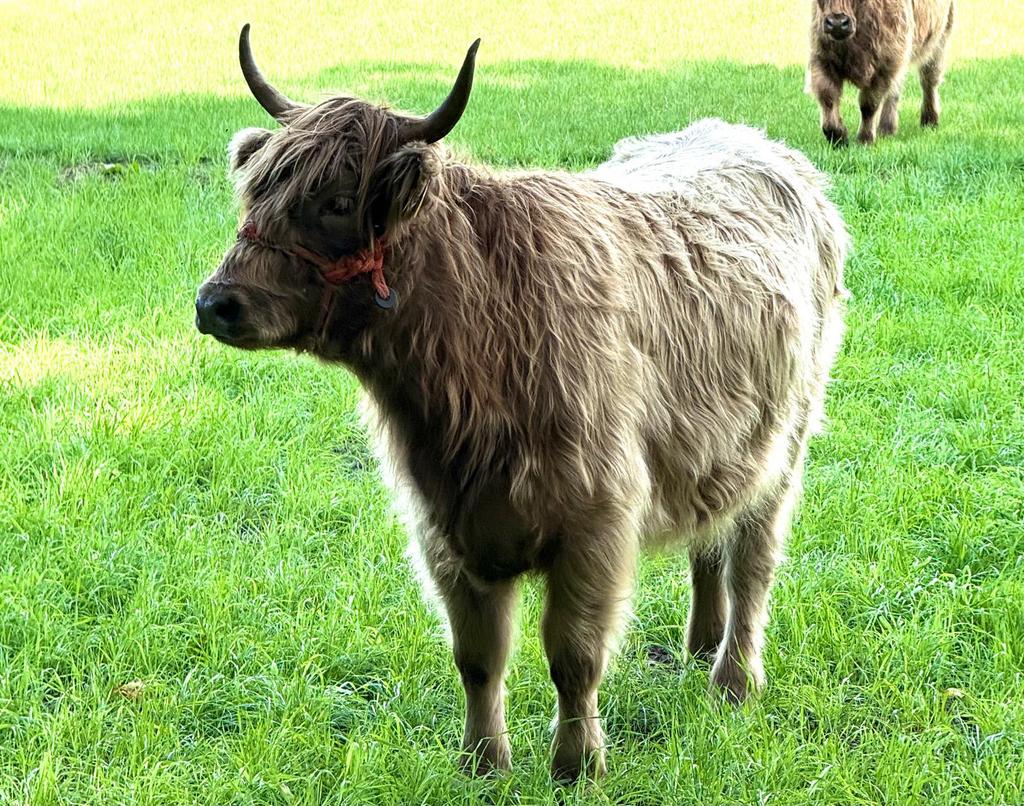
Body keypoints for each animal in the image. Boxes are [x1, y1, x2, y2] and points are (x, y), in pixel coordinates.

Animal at [196, 25, 849, 782]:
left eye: (333, 202)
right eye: (256, 192)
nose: (214, 304)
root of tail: (758, 144)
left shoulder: (596, 523)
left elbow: (574, 657)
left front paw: (577, 764)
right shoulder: (445, 529)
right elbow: (478, 657)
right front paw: (483, 760)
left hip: (785, 448)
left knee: (752, 562)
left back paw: (733, 680)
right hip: (717, 448)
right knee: (710, 541)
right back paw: (698, 645)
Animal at [809, 0, 955, 145]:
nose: (837, 23)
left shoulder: (884, 65)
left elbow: (868, 104)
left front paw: (864, 139)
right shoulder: (822, 60)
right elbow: (828, 97)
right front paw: (838, 137)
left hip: (939, 40)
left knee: (929, 81)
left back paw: (929, 121)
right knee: (896, 90)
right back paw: (887, 128)